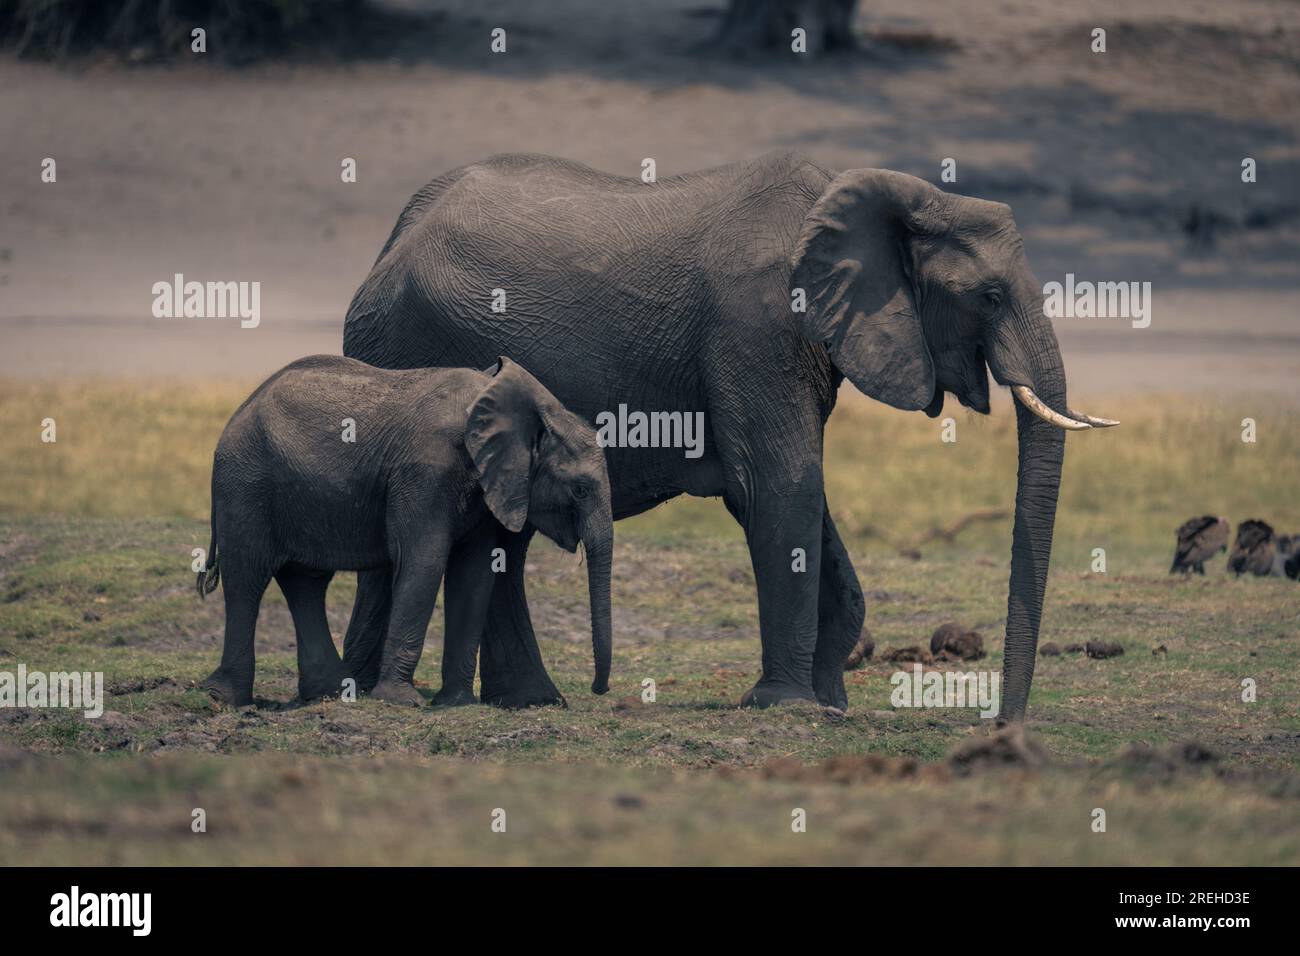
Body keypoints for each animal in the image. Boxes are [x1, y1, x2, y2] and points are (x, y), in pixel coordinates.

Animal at [197, 354, 614, 708]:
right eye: (580, 489)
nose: (598, 690)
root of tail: (239, 411)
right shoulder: (425, 471)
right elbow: (425, 561)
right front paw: (401, 701)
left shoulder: (485, 488)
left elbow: (474, 574)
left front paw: (456, 704)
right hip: (245, 484)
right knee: (247, 577)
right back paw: (226, 700)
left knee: (305, 582)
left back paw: (332, 694)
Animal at [341, 151, 1117, 721]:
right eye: (989, 296)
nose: (1003, 723)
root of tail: (388, 244)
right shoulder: (759, 323)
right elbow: (781, 485)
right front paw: (788, 707)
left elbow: (806, 499)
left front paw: (830, 704)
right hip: (413, 343)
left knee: (508, 535)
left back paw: (532, 703)